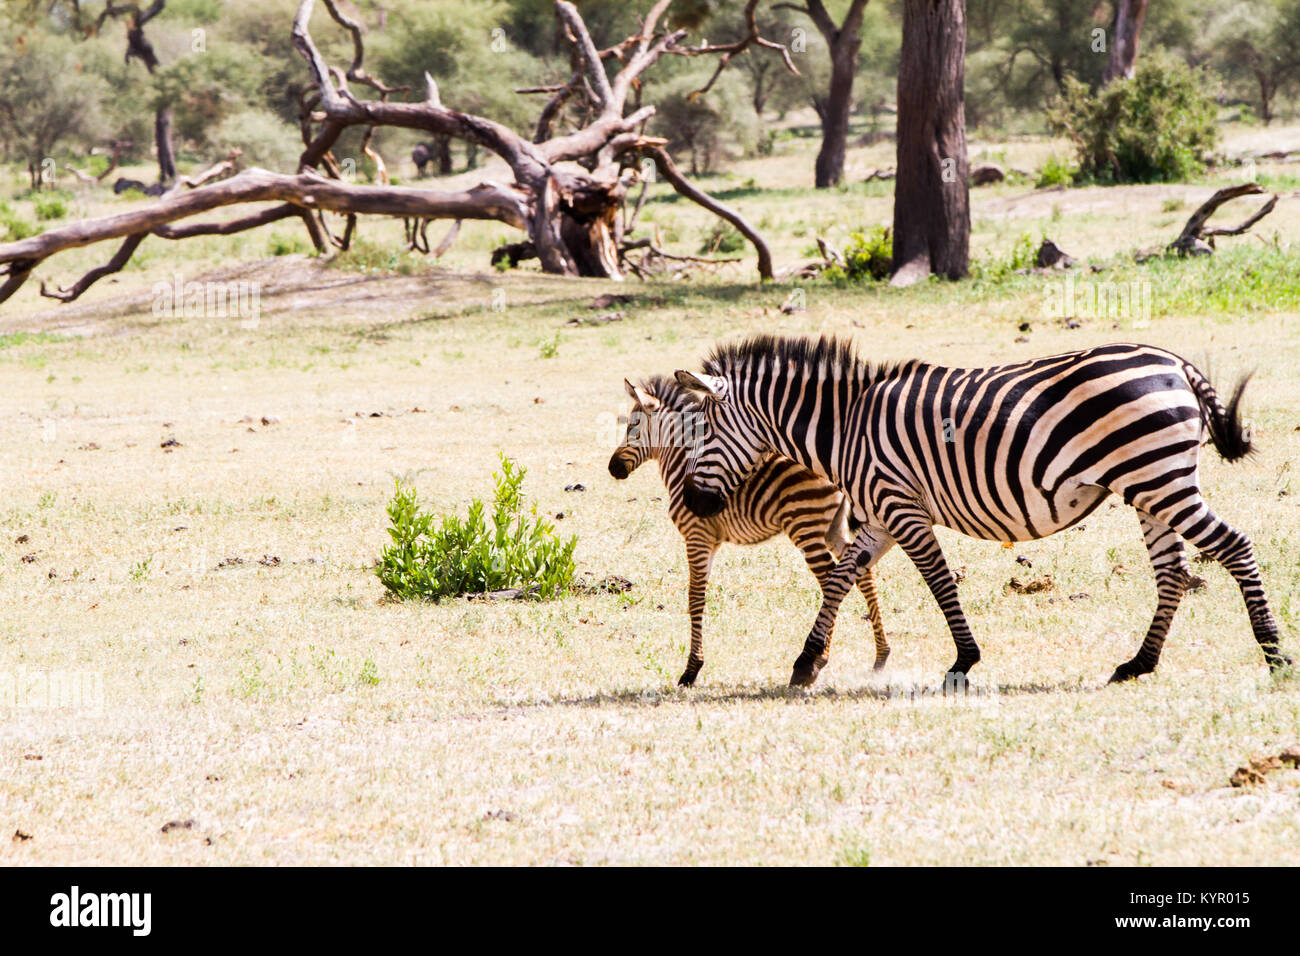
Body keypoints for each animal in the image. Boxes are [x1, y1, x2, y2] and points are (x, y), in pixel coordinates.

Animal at [605, 374, 889, 686]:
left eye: (632, 428)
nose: (613, 468)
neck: (682, 463)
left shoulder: (697, 536)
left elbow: (695, 598)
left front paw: (691, 670)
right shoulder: (710, 541)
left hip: (805, 525)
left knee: (831, 582)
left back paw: (815, 660)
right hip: (832, 528)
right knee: (861, 574)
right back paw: (880, 656)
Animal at [676, 335, 1284, 686]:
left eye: (704, 432)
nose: (696, 504)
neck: (845, 427)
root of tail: (1175, 361)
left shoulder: (902, 508)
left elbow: (939, 580)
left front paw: (963, 661)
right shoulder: (878, 518)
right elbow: (841, 578)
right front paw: (807, 662)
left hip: (1157, 478)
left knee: (1234, 546)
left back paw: (1274, 652)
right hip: (1150, 485)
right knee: (1173, 572)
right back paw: (1139, 664)